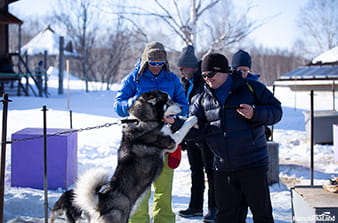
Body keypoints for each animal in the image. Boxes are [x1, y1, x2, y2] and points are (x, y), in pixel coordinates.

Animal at [72, 89, 197, 222]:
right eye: (168, 101)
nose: (182, 106)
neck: (142, 120)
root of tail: (101, 203)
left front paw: (183, 118)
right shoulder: (172, 142)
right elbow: (184, 126)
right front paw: (193, 118)